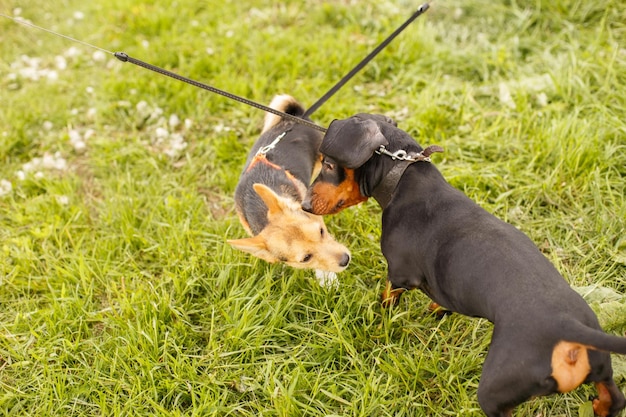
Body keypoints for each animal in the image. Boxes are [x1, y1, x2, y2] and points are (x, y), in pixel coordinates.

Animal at [302, 111, 624, 416]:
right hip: (601, 368)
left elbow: (387, 299)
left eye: (328, 164)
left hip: (496, 390)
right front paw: (435, 311)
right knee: (614, 398)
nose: (304, 206)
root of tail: (569, 328)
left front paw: (381, 323)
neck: (403, 176)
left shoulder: (400, 273)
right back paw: (599, 406)